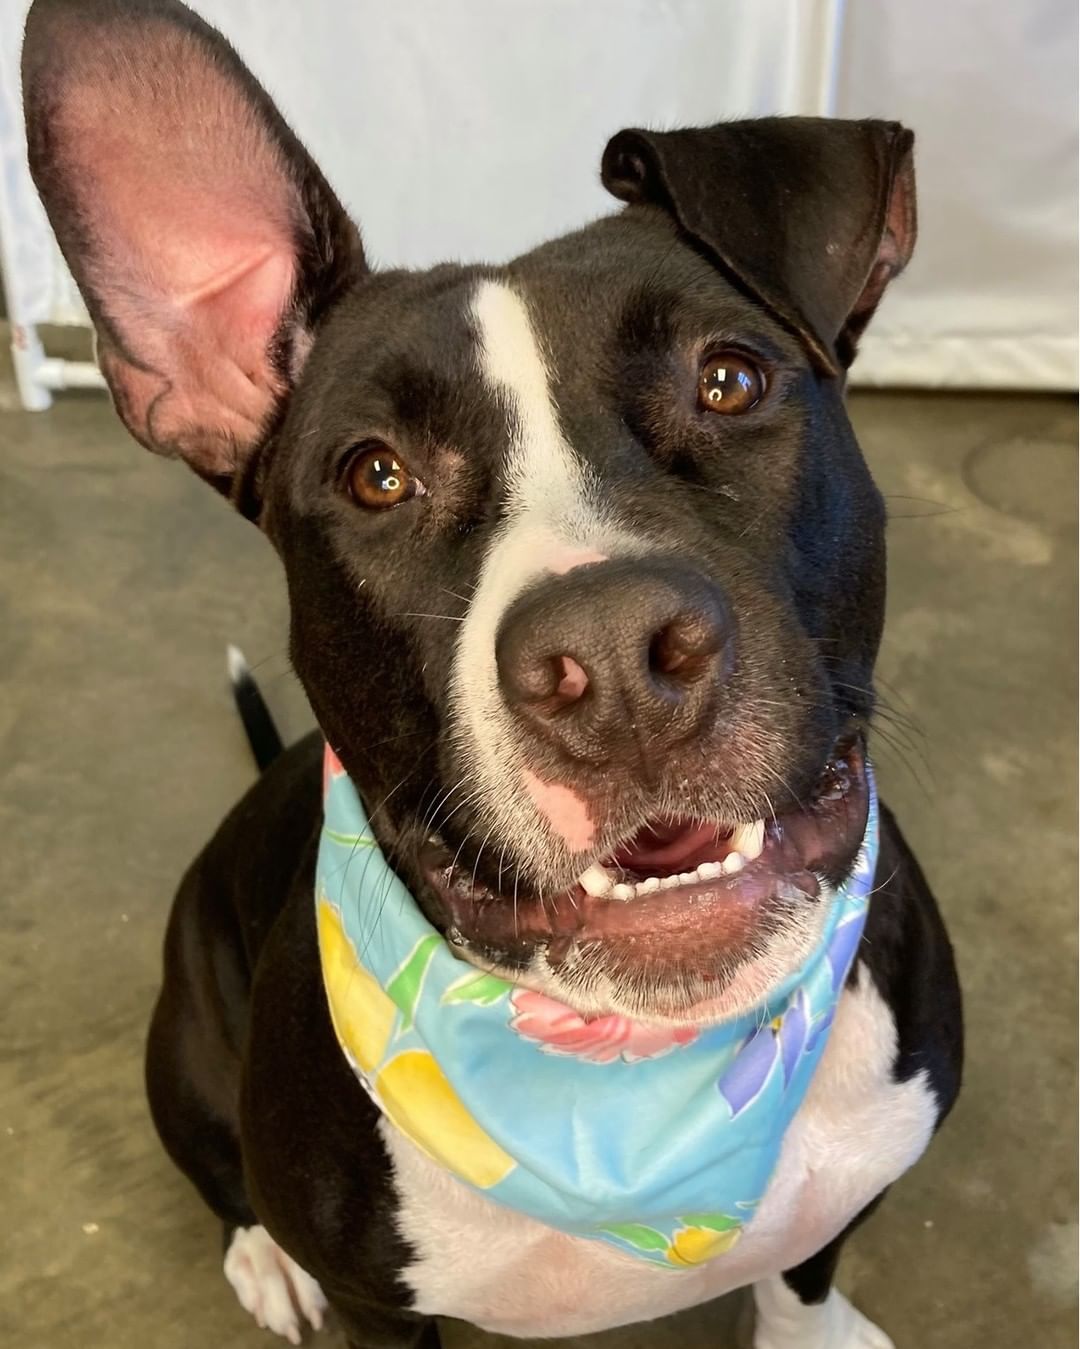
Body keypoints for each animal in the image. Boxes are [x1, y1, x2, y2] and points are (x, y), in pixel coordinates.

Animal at [23, 2, 960, 1349]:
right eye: (376, 474)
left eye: (730, 379)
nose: (613, 654)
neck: (629, 1086)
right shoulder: (381, 1301)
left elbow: (812, 1257)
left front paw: (817, 1327)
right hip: (182, 1044)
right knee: (214, 1169)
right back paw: (262, 1256)